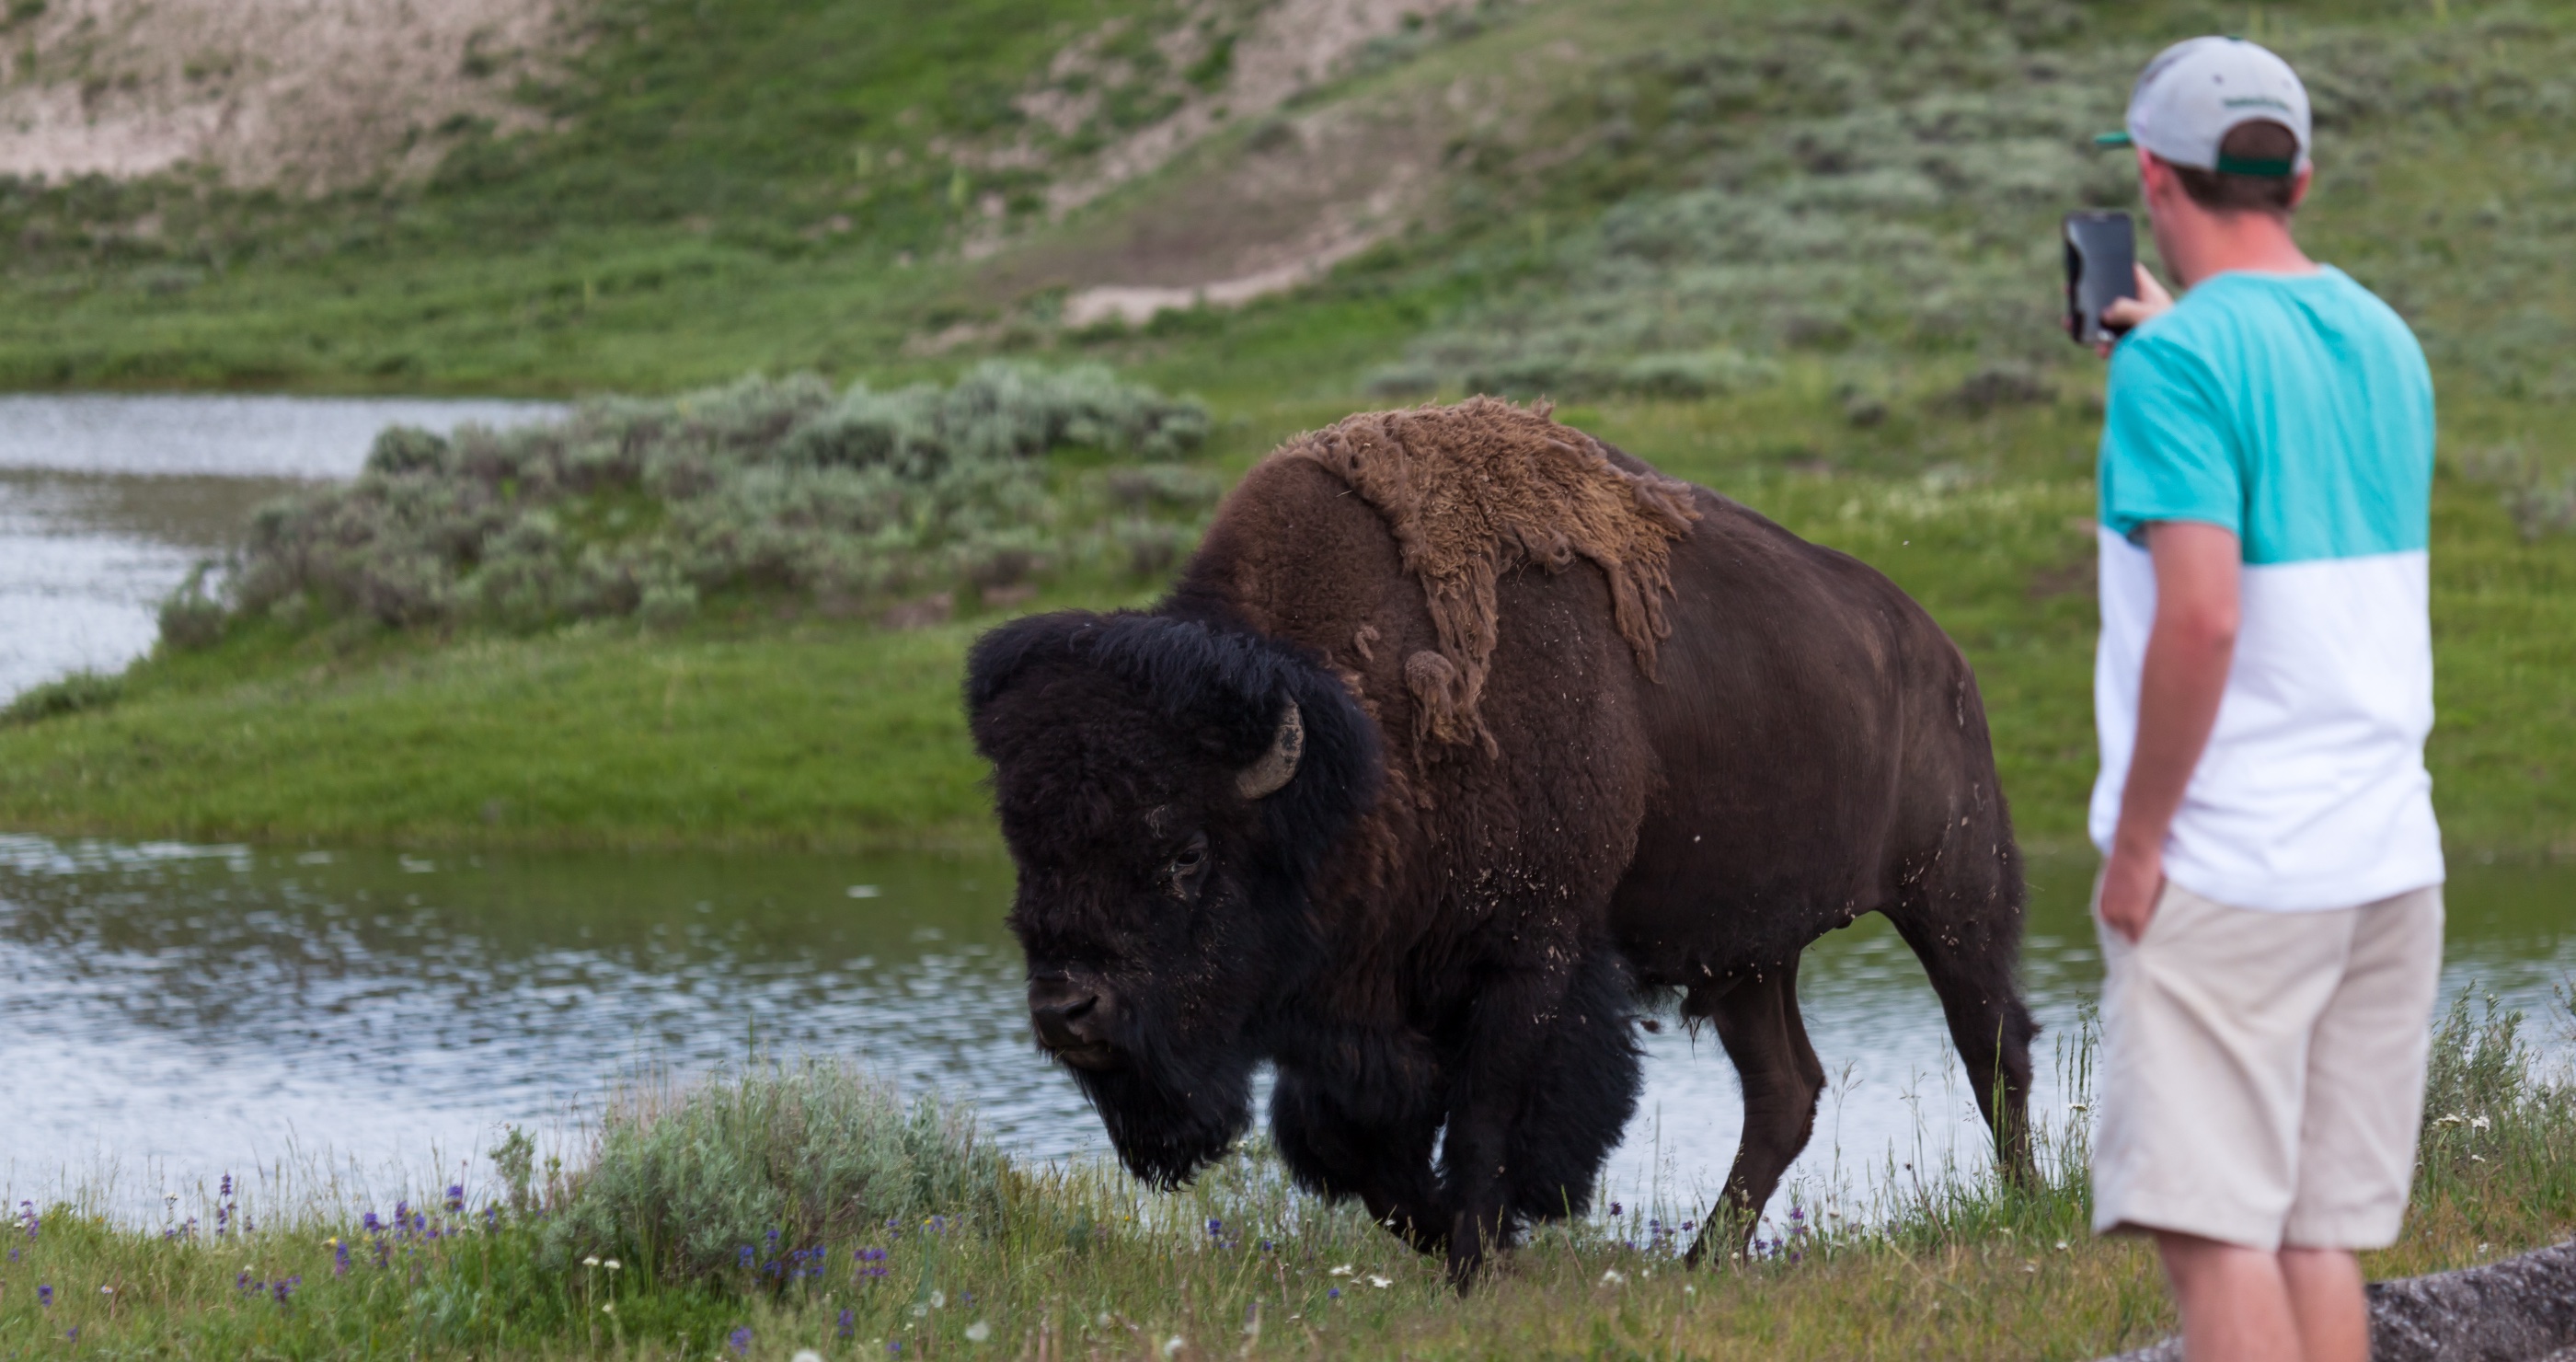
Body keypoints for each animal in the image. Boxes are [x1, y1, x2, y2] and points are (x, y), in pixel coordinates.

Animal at [967, 398, 2035, 1286]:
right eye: (1028, 849)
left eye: (1186, 855)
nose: (1066, 1008)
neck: (1353, 748)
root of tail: (1938, 654)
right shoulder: (1359, 1008)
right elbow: (1354, 1149)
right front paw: (1465, 1244)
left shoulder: (1529, 960)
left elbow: (1484, 1125)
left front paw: (1476, 1263)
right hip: (1746, 957)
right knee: (1786, 1090)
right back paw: (1702, 1259)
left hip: (1952, 893)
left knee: (1993, 1045)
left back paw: (2028, 1212)